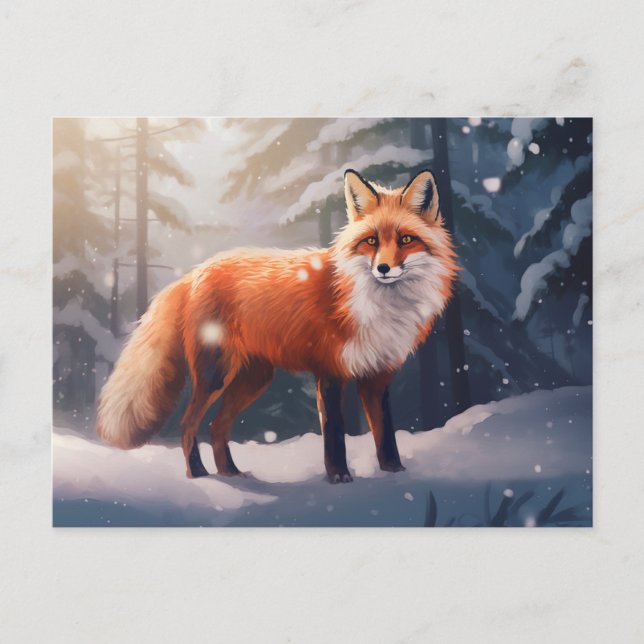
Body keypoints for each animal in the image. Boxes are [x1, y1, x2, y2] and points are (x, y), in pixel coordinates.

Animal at [97, 168, 458, 483]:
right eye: (370, 241)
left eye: (406, 239)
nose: (383, 268)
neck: (377, 306)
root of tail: (194, 273)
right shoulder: (330, 371)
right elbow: (335, 434)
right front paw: (339, 477)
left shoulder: (377, 377)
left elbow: (386, 435)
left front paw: (395, 473)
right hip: (216, 374)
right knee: (189, 423)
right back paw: (198, 474)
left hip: (253, 379)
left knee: (217, 427)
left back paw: (230, 472)